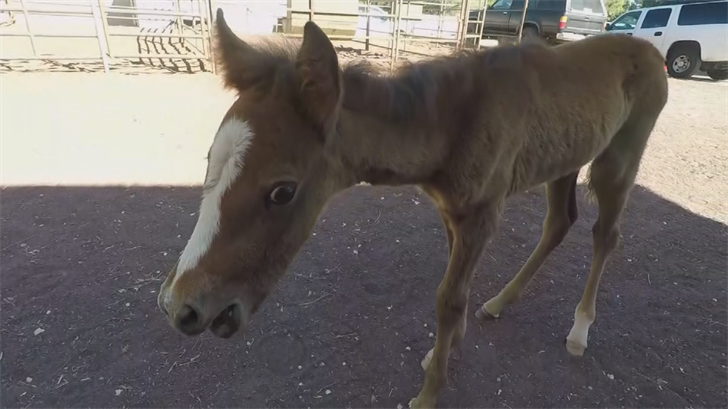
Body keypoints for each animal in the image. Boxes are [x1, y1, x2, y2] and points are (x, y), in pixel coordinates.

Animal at [158, 9, 668, 408]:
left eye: (283, 191)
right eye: (208, 161)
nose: (179, 306)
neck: (451, 125)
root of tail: (650, 51)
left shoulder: (483, 213)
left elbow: (448, 297)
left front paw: (428, 392)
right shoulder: (451, 211)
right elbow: (454, 286)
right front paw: (447, 347)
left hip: (620, 157)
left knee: (605, 234)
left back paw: (579, 330)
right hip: (568, 158)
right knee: (560, 223)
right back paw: (500, 301)